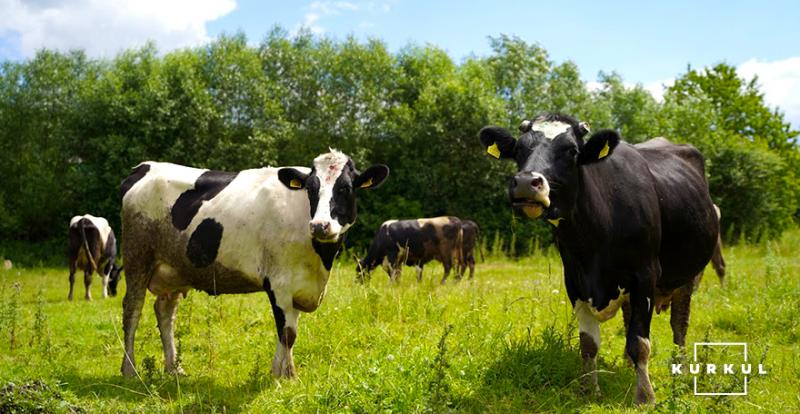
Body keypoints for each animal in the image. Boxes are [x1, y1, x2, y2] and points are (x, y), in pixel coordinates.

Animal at [119, 151, 390, 378]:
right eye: (311, 189)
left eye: (345, 188)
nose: (320, 225)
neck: (320, 261)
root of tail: (145, 166)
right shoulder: (279, 283)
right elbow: (287, 333)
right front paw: (283, 376)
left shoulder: (299, 287)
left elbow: (291, 329)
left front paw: (284, 372)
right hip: (137, 257)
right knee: (133, 309)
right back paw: (130, 369)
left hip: (174, 269)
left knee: (165, 312)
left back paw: (174, 368)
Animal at [482, 114, 720, 404]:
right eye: (518, 150)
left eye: (572, 151)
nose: (527, 183)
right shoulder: (574, 280)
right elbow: (589, 344)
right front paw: (589, 389)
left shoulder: (645, 275)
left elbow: (640, 342)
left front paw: (644, 396)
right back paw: (628, 365)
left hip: (690, 276)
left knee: (679, 325)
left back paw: (682, 371)